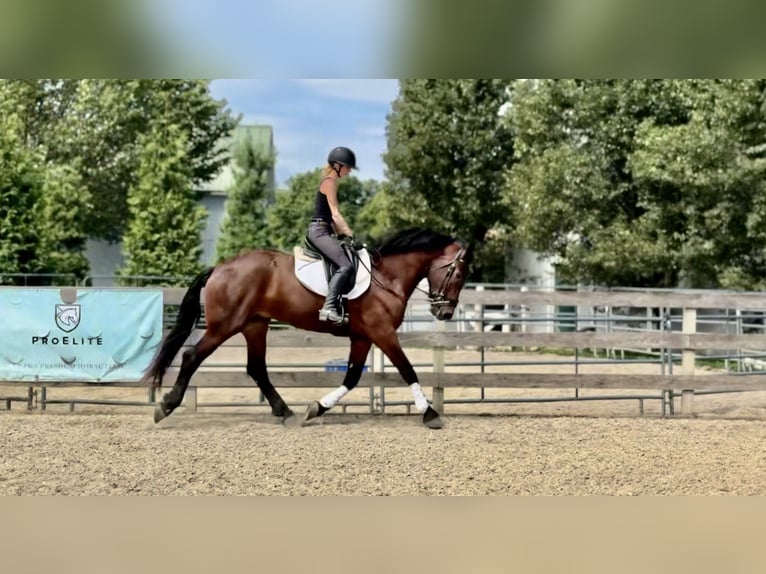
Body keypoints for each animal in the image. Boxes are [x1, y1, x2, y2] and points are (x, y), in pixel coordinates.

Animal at [144, 227, 473, 429]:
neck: (386, 277)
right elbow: (408, 370)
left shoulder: (362, 337)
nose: (444, 312)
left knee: (256, 368)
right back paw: (166, 407)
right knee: (192, 357)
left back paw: (285, 412)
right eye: (458, 274)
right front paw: (430, 414)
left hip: (254, 325)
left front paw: (317, 407)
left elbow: (352, 377)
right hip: (224, 325)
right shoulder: (382, 333)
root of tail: (220, 268)